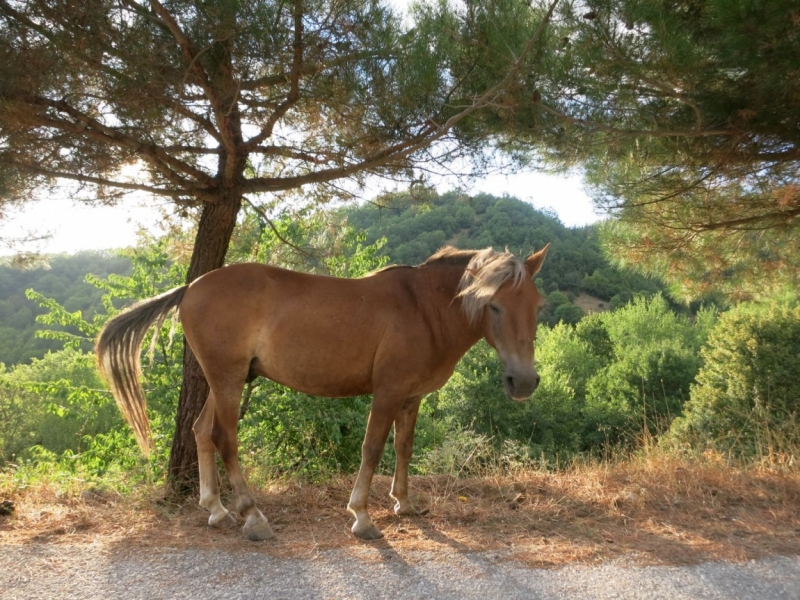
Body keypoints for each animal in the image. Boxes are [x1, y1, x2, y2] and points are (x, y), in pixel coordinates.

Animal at [97, 244, 552, 540]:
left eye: (538, 305)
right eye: (493, 305)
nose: (524, 382)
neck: (423, 308)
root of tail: (191, 287)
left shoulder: (411, 397)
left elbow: (404, 447)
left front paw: (404, 503)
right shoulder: (387, 394)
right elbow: (372, 448)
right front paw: (362, 516)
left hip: (226, 380)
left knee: (201, 431)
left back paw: (217, 510)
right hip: (227, 380)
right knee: (225, 438)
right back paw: (253, 517)